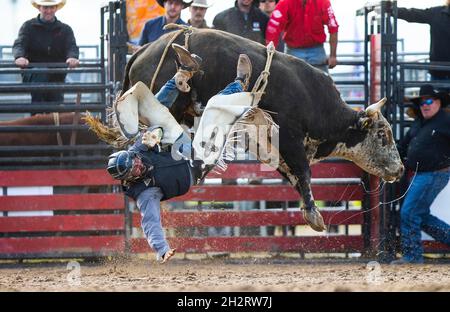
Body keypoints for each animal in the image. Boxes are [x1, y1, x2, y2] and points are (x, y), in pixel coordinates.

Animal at [120, 28, 404, 230]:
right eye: (382, 134)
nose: (400, 169)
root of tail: (142, 51)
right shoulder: (289, 137)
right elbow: (304, 172)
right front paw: (314, 215)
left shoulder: (271, 146)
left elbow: (294, 176)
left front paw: (308, 210)